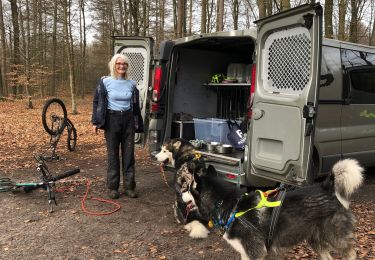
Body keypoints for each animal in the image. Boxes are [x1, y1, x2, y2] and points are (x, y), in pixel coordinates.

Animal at [155, 139, 364, 258]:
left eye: (187, 188)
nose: (179, 194)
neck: (229, 206)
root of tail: (327, 186)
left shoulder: (255, 253)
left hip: (335, 238)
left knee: (351, 253)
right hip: (316, 240)